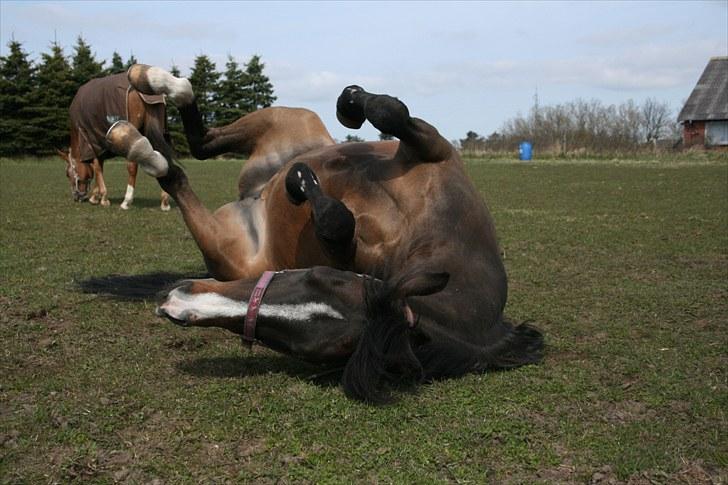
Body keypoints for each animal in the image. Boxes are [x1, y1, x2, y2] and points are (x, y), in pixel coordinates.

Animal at [58, 72, 172, 210]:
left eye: (68, 174)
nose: (77, 197)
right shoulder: (99, 144)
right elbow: (99, 166)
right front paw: (95, 196)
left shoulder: (91, 141)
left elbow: (97, 167)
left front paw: (103, 198)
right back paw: (165, 202)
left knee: (132, 165)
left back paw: (126, 201)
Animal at [105, 66, 544, 402]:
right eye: (319, 277)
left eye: (306, 350)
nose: (176, 302)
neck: (445, 233)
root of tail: (254, 195)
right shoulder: (431, 147)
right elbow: (389, 113)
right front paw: (350, 104)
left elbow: (337, 222)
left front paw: (305, 184)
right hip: (285, 119)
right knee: (200, 141)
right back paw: (152, 83)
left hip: (224, 249)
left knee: (177, 170)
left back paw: (136, 140)